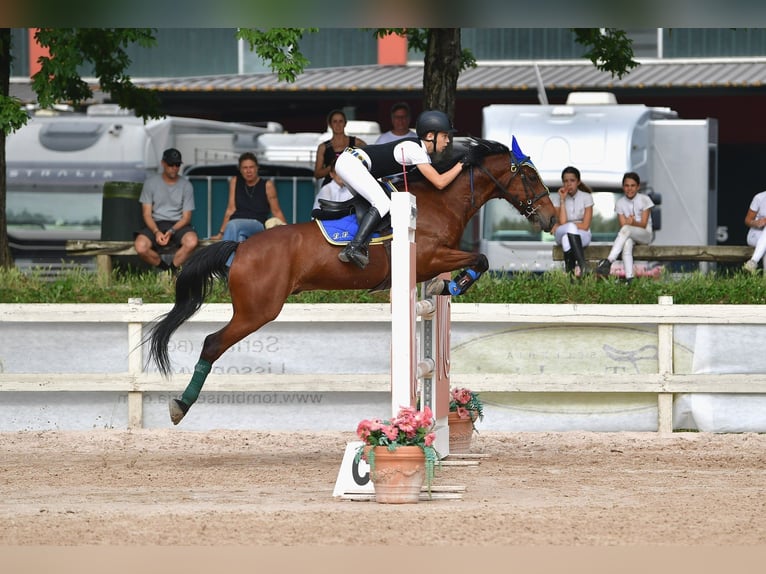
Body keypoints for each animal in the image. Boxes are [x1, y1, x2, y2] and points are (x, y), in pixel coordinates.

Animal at [147, 137, 557, 424]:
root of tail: (241, 247)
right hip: (257, 311)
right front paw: (452, 285)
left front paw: (448, 286)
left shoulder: (430, 263)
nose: (552, 219)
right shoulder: (428, 256)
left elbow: (475, 262)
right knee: (212, 343)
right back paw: (180, 406)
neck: (442, 202)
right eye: (529, 174)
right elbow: (481, 259)